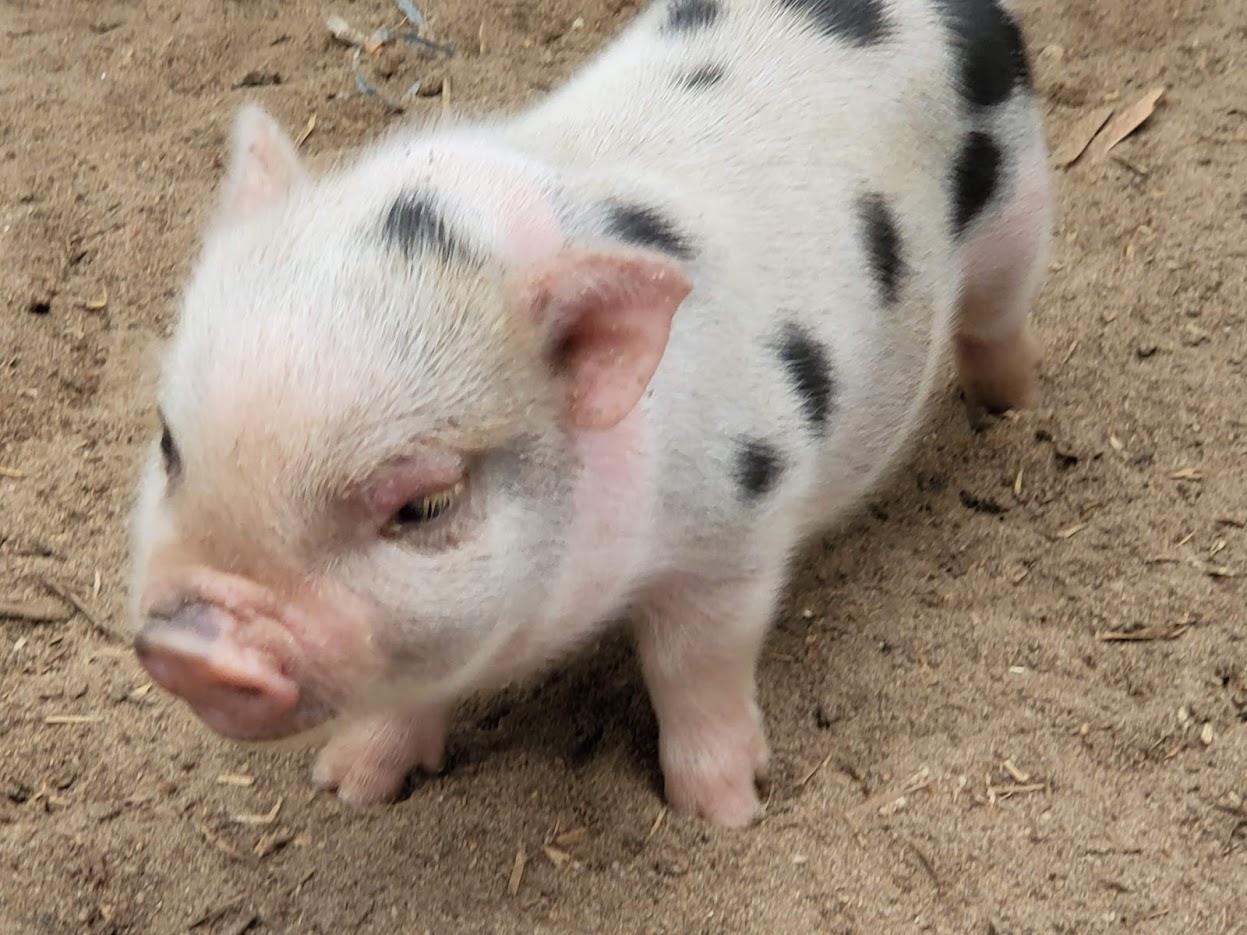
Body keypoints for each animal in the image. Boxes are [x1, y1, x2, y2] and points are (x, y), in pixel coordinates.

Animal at [129, 0, 1052, 828]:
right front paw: (346, 785)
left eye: (423, 504)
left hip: (1020, 216)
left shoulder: (734, 526)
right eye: (170, 445)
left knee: (995, 323)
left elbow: (693, 665)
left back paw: (1009, 411)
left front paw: (724, 813)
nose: (193, 645)